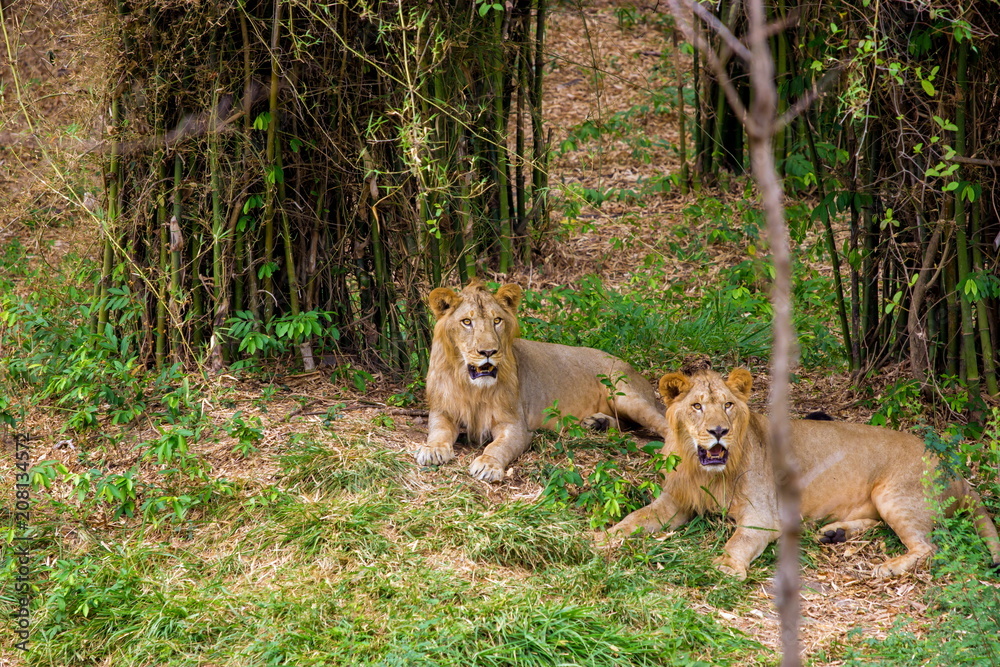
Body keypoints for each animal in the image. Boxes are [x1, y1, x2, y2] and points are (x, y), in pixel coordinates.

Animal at [414, 281, 669, 482]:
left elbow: (497, 446)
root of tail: (630, 367)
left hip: (625, 394)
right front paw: (432, 450)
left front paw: (488, 465)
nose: (489, 352)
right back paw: (598, 423)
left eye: (497, 320)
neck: (471, 387)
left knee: (663, 423)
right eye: (467, 322)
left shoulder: (516, 426)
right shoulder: (442, 410)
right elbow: (438, 432)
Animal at [608, 366, 1000, 579]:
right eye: (696, 406)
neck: (708, 473)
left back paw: (887, 567)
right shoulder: (674, 501)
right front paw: (601, 539)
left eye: (729, 405)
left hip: (894, 495)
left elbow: (738, 540)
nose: (719, 431)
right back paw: (834, 533)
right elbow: (633, 519)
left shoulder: (763, 516)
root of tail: (955, 468)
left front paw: (727, 566)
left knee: (928, 546)